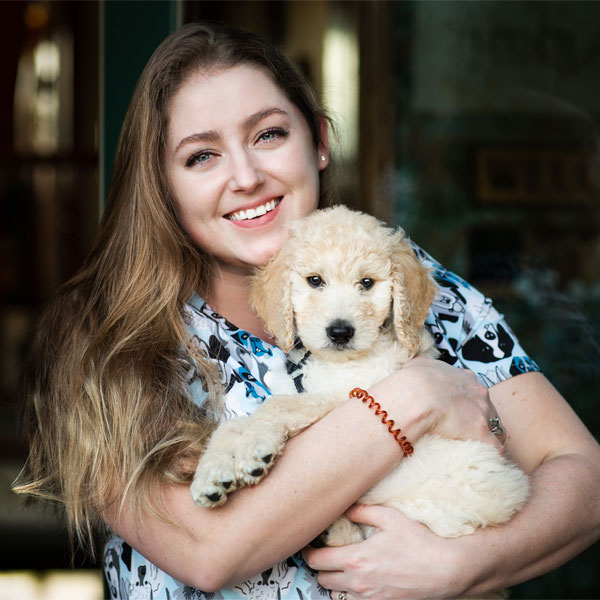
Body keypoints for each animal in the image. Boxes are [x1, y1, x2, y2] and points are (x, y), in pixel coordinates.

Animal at [190, 206, 528, 596]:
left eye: (367, 283)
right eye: (315, 281)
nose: (340, 331)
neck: (344, 362)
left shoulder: (345, 399)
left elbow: (275, 407)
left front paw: (251, 452)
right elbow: (234, 425)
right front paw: (212, 475)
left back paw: (334, 531)